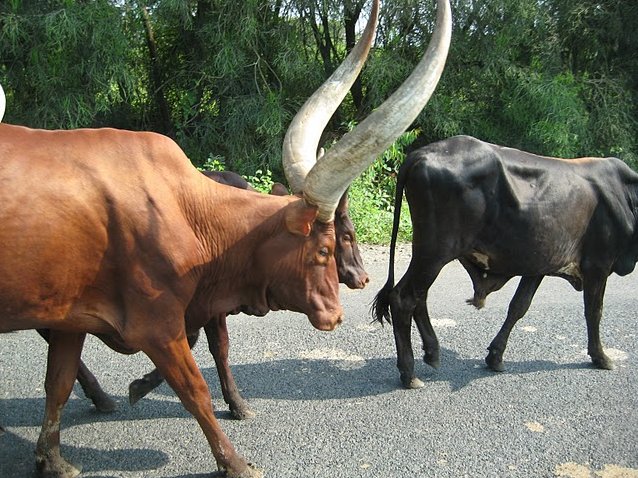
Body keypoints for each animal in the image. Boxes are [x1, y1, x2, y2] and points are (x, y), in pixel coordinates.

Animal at [0, 1, 456, 476]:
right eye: (325, 248)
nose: (336, 316)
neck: (185, 211)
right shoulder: (156, 325)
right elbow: (195, 389)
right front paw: (234, 460)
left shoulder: (71, 319)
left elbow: (57, 384)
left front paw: (51, 458)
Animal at [376, 134, 638, 388]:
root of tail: (421, 154)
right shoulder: (598, 264)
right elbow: (594, 311)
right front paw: (601, 357)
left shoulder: (538, 265)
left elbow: (518, 307)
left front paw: (495, 356)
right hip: (435, 252)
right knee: (404, 298)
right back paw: (409, 372)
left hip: (427, 254)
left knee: (419, 297)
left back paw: (431, 352)